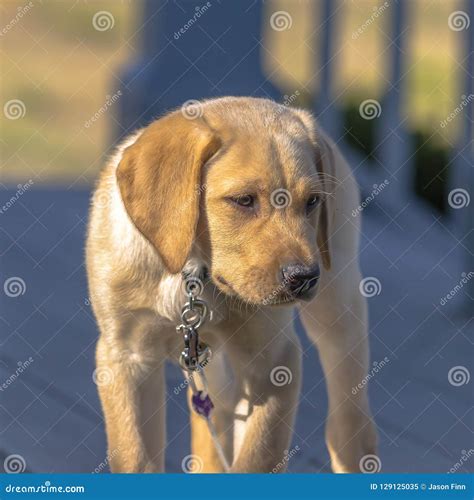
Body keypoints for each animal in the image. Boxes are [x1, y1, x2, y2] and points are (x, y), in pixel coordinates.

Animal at [86, 96, 378, 472]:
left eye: (312, 201)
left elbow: (257, 457)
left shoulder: (273, 362)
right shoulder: (126, 357)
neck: (194, 276)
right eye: (243, 200)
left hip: (338, 307)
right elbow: (136, 457)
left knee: (349, 418)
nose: (303, 277)